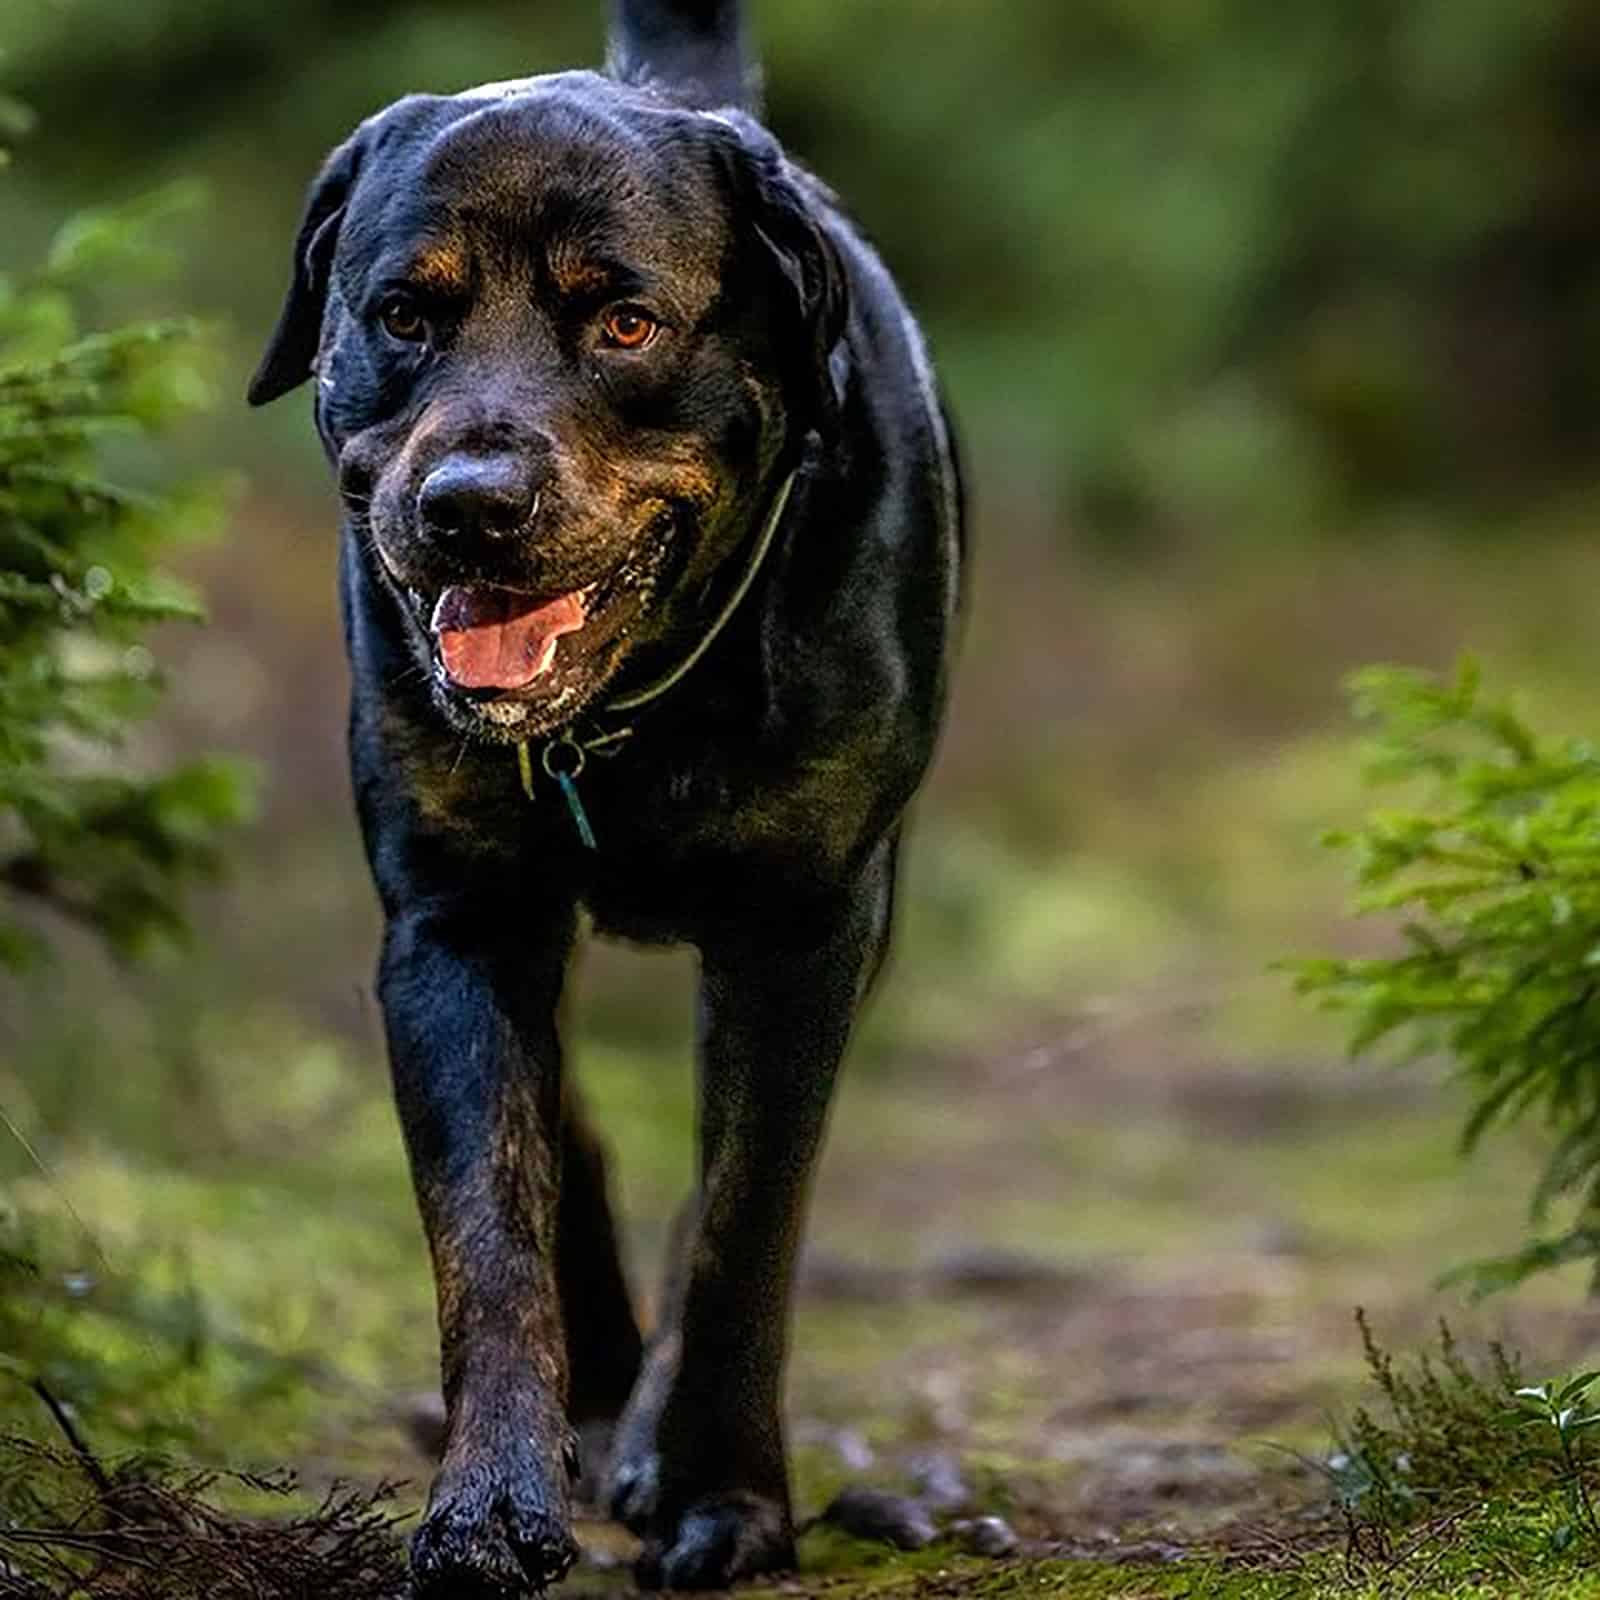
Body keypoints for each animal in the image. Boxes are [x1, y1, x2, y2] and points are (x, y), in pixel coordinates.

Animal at [249, 6, 960, 1593]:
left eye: (625, 324)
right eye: (404, 315)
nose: (467, 501)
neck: (630, 721)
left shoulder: (809, 923)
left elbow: (747, 1220)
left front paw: (720, 1496)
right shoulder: (451, 919)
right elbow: (488, 1229)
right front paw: (489, 1502)